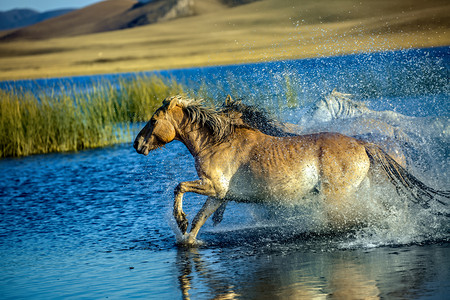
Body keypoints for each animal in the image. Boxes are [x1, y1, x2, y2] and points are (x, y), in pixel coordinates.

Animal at [135, 95, 448, 245]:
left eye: (153, 120)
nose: (137, 144)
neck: (217, 141)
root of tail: (363, 143)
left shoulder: (213, 186)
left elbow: (179, 187)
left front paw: (180, 221)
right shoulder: (219, 194)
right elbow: (201, 218)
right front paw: (187, 237)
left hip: (339, 196)